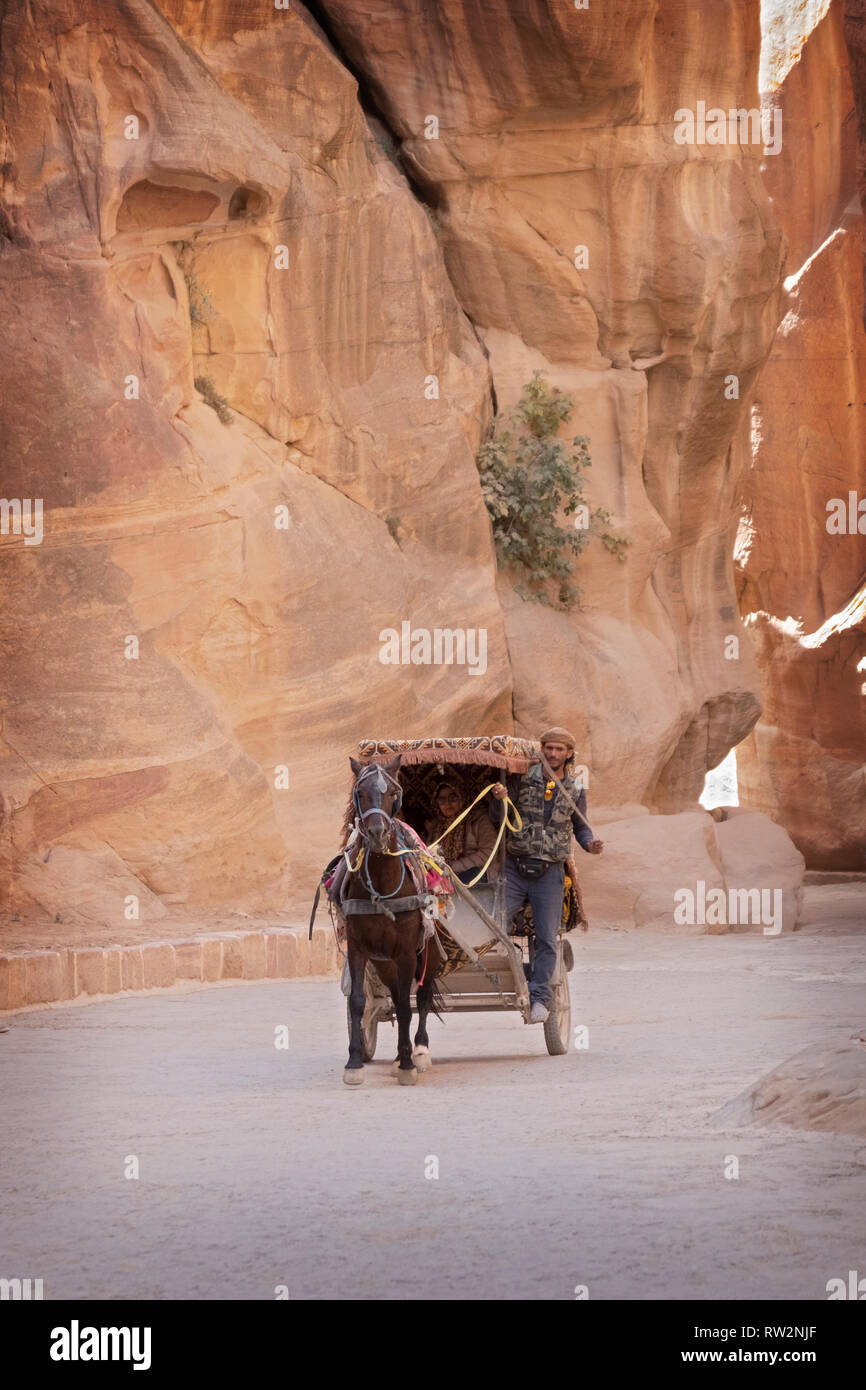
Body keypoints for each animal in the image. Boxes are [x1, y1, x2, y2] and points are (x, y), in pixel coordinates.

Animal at [341, 756, 444, 1089]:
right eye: (360, 792)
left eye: (393, 793)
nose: (376, 833)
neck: (382, 888)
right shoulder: (358, 949)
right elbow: (358, 1001)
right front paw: (354, 1063)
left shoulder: (407, 952)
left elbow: (406, 1006)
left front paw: (409, 1065)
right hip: (384, 962)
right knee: (398, 992)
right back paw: (402, 1053)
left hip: (427, 953)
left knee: (421, 997)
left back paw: (419, 1051)